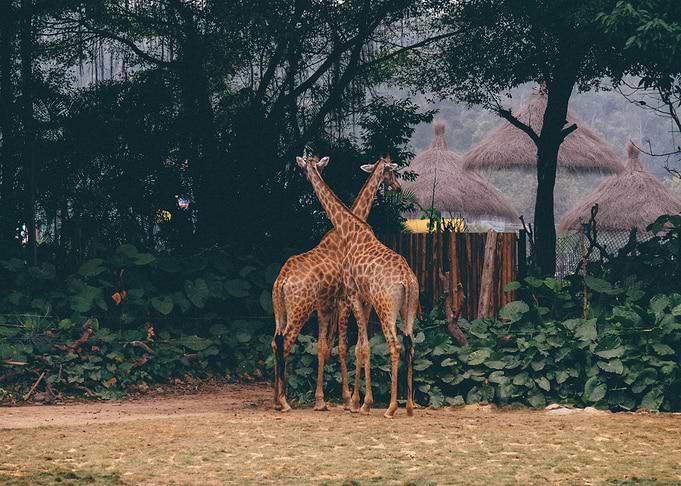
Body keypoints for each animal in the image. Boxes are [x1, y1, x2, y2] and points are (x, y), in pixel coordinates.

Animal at [271, 157, 401, 412]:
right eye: (391, 172)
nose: (398, 187)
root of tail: (281, 280)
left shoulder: (325, 306)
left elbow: (324, 347)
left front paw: (322, 400)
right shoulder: (342, 301)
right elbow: (344, 347)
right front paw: (349, 399)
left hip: (281, 312)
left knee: (274, 342)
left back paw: (276, 399)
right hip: (300, 310)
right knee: (286, 342)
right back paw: (283, 401)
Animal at [296, 155, 419, 418]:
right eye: (391, 173)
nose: (397, 188)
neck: (350, 230)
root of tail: (408, 280)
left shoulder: (353, 296)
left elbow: (358, 348)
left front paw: (358, 402)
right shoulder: (360, 300)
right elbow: (359, 347)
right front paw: (358, 401)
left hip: (384, 308)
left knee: (392, 345)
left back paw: (390, 407)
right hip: (408, 310)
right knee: (409, 346)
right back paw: (407, 406)